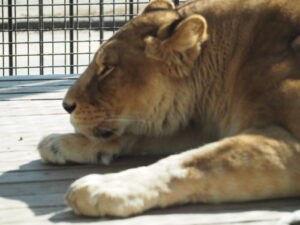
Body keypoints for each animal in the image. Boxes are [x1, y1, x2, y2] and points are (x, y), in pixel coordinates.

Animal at [37, 0, 300, 219]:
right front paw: (62, 142)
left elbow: (196, 160)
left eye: (108, 68)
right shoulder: (203, 123)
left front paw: (105, 186)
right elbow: (139, 134)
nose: (66, 105)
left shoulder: (290, 139)